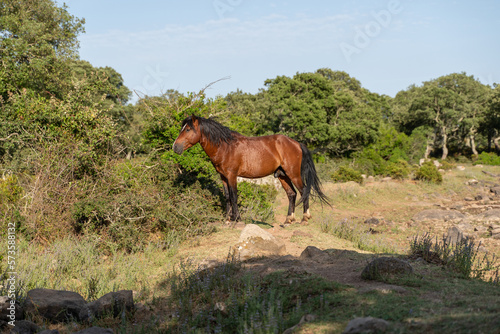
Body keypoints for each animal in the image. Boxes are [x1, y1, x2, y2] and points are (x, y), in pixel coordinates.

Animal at [172, 115, 328, 224]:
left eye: (187, 129)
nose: (175, 147)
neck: (225, 146)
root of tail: (297, 143)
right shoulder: (223, 177)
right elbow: (227, 196)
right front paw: (227, 219)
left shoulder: (232, 175)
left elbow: (234, 196)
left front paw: (236, 218)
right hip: (283, 176)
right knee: (292, 194)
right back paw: (288, 219)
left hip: (293, 174)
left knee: (304, 191)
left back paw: (305, 218)